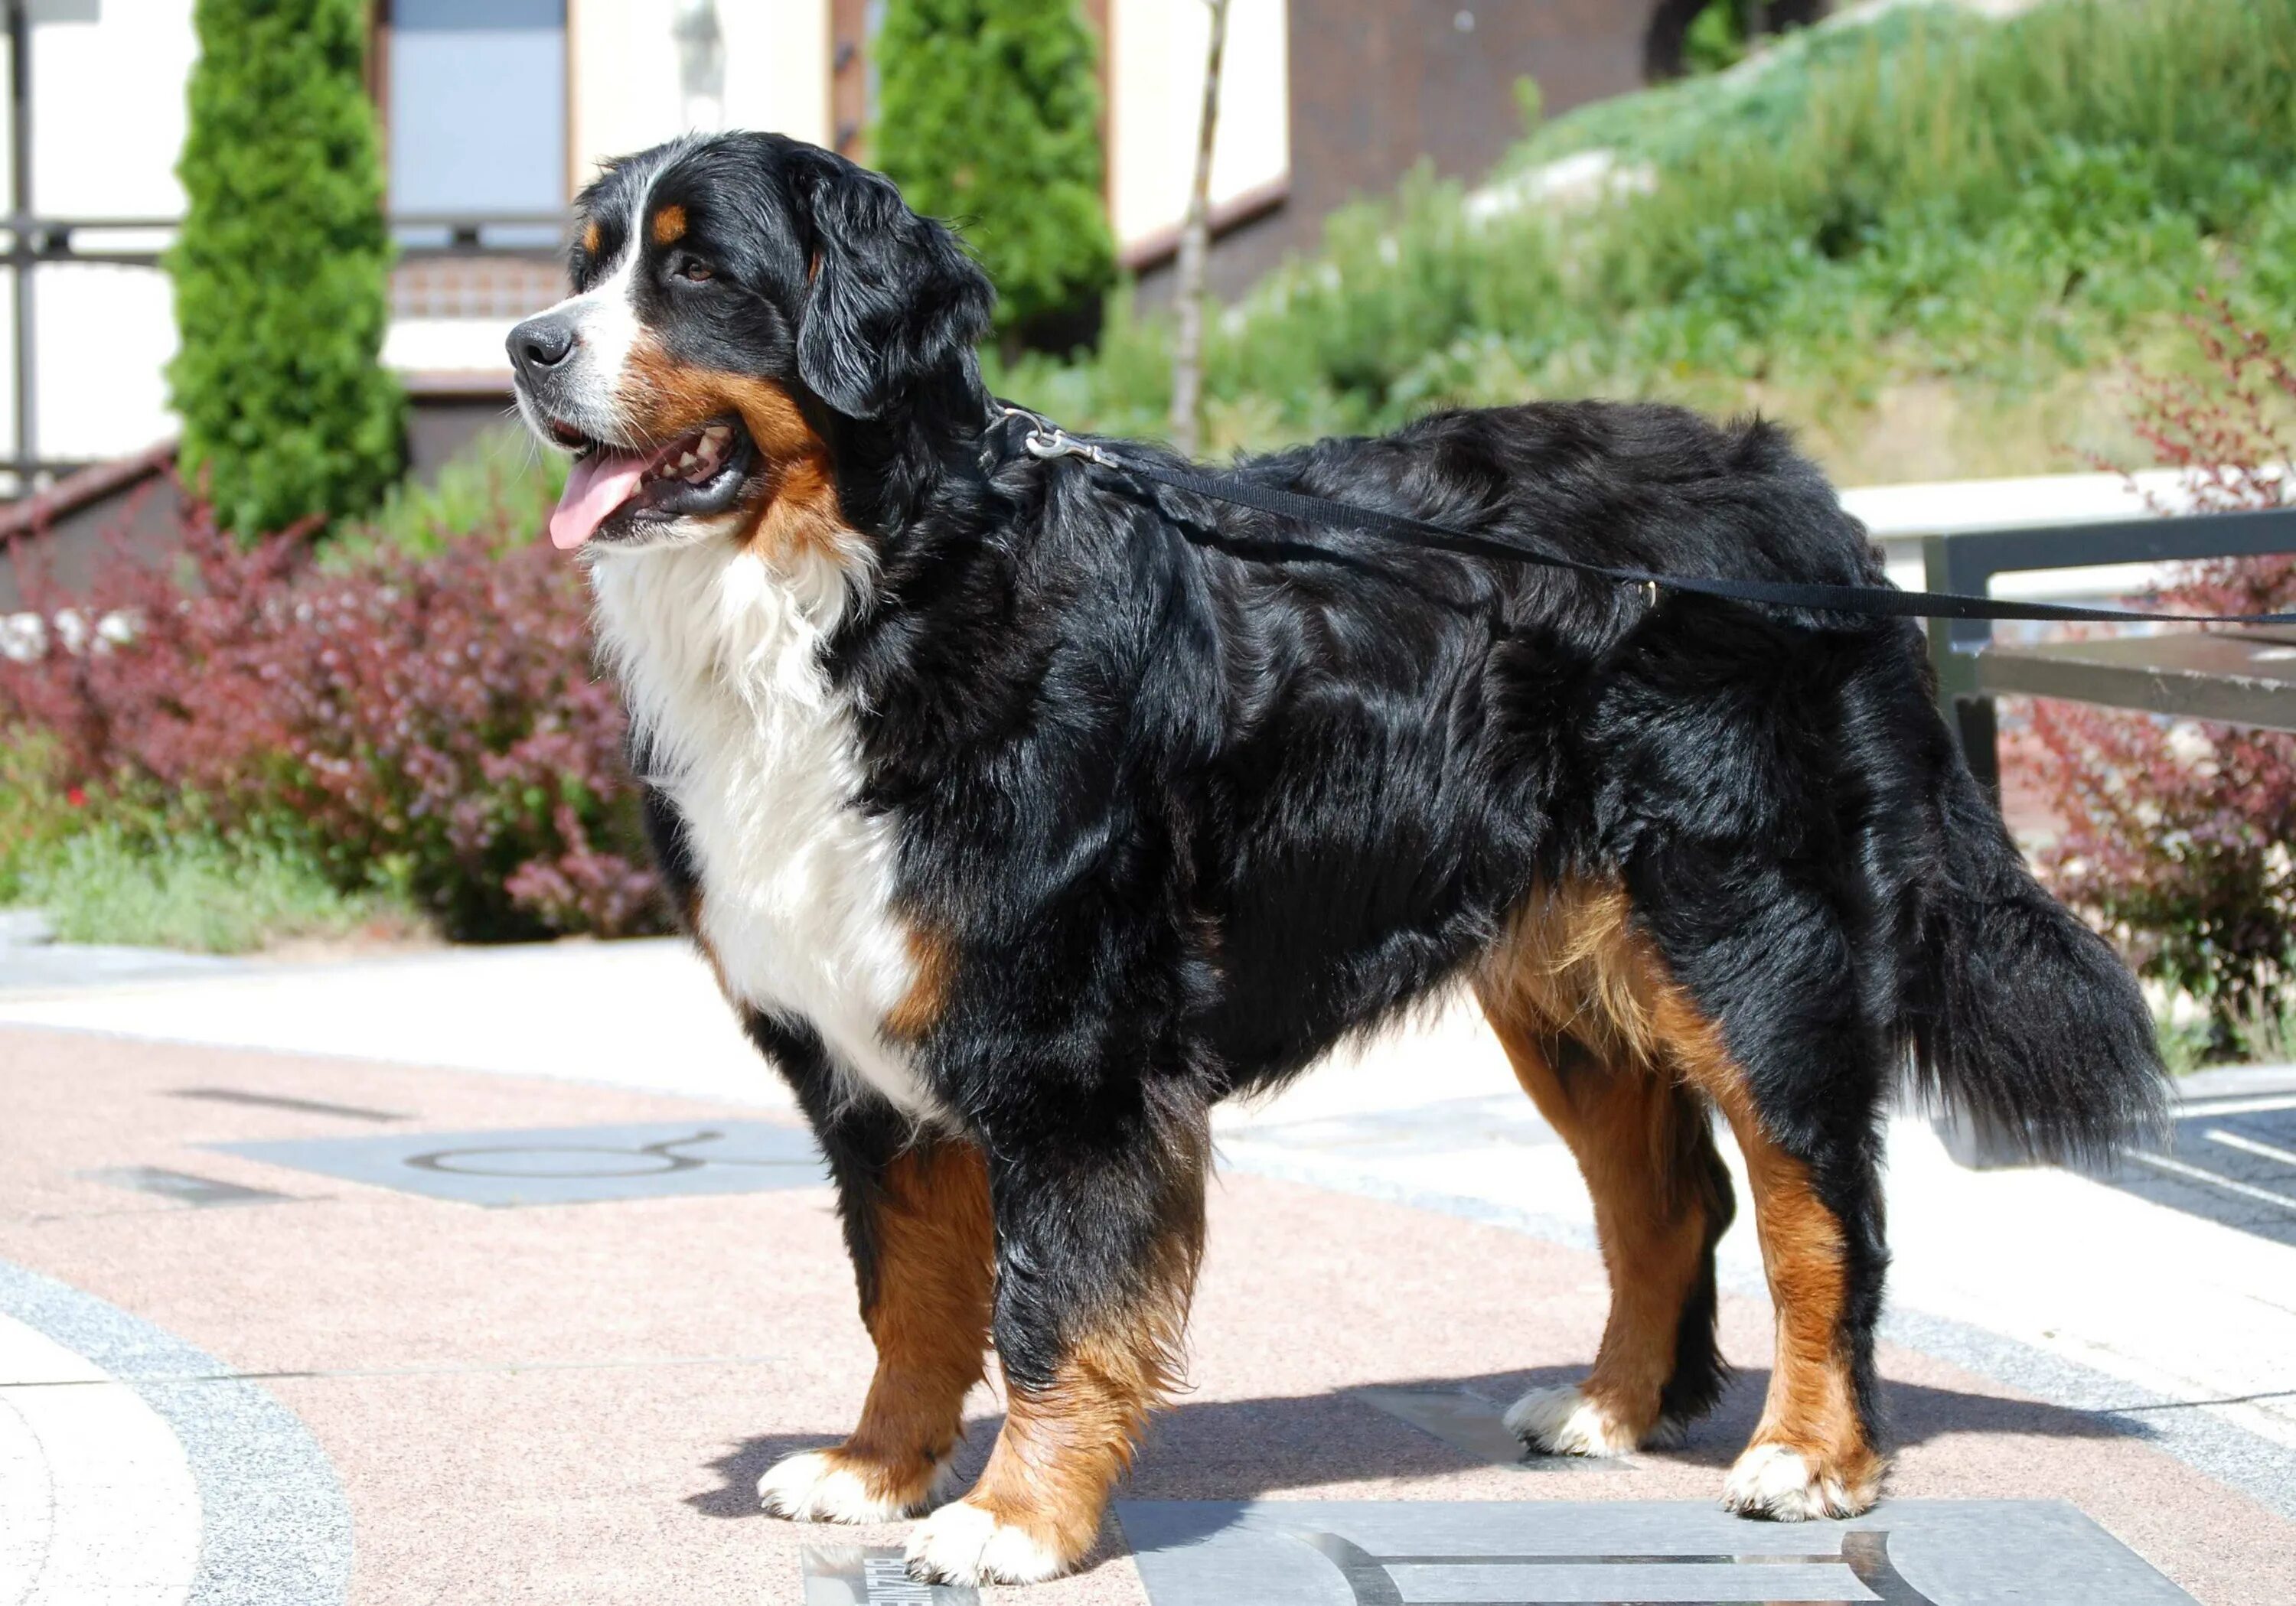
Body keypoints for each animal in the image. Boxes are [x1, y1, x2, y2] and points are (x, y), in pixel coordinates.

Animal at [507, 135, 2167, 1578]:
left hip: (1748, 926)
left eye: (694, 269)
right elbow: (908, 1293)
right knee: (1667, 1197)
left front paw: (1014, 1518)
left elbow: (1051, 1306)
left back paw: (1812, 1450)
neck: (871, 588)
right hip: (1562, 979)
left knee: (1819, 1205)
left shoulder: (1069, 1050)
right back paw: (1609, 1407)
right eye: (587, 265)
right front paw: (874, 1465)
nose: (526, 345)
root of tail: (1803, 499)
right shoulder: (863, 1048)